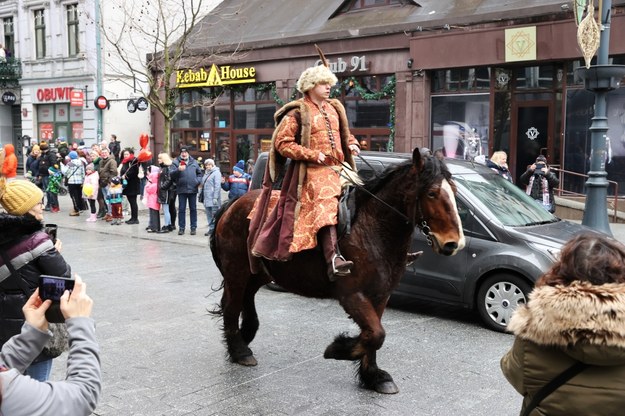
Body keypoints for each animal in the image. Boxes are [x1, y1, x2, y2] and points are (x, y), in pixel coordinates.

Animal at [210, 149, 464, 394]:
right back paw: (240, 351)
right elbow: (376, 334)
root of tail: (233, 204)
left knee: (246, 298)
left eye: (453, 191)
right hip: (236, 271)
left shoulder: (380, 295)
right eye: (432, 193)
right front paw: (338, 348)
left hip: (258, 272)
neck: (371, 230)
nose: (453, 243)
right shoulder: (352, 295)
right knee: (231, 305)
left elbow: (374, 334)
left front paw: (373, 376)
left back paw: (245, 335)